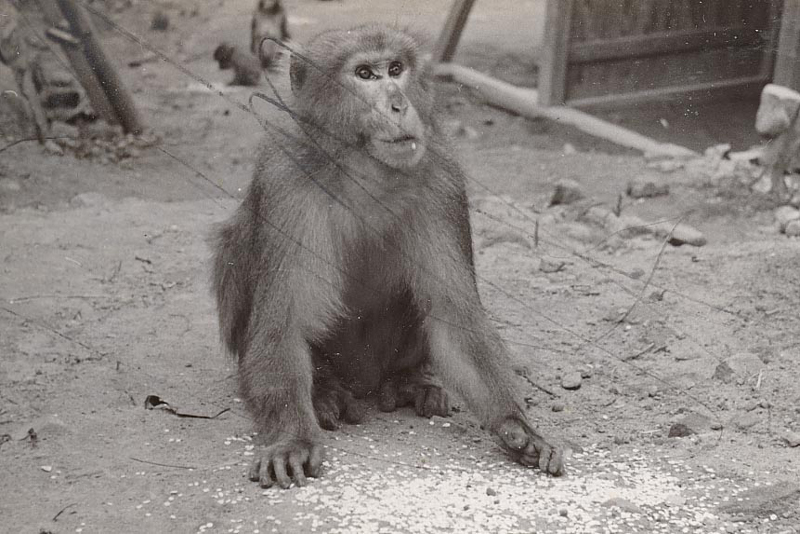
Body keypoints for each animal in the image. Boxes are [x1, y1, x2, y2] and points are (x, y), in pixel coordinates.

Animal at [209, 24, 564, 490]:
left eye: (396, 69)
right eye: (365, 74)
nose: (399, 104)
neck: (364, 168)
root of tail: (366, 382)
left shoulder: (441, 176)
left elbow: (454, 315)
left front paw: (515, 425)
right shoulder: (285, 180)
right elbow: (281, 326)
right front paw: (292, 438)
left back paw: (408, 381)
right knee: (231, 246)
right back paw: (325, 392)